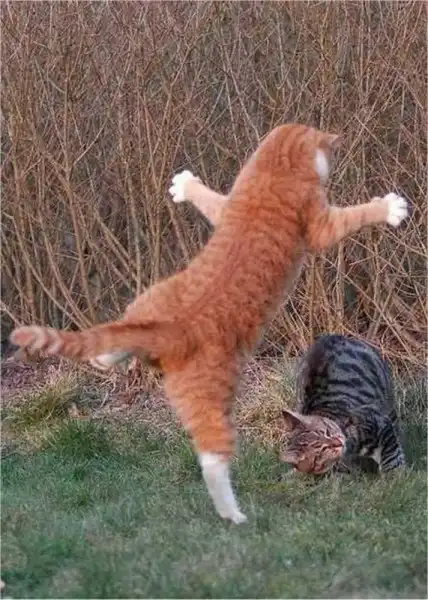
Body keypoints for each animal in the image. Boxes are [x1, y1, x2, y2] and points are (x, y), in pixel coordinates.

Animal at [280, 334, 406, 475]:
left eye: (326, 432)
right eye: (321, 451)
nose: (337, 442)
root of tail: (332, 335)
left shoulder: (378, 423)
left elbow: (391, 456)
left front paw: (395, 475)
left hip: (386, 397)